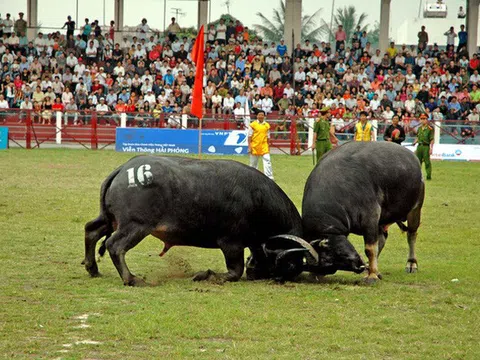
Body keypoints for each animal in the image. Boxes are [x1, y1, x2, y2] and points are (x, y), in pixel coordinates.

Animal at [84, 156, 320, 286]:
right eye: (292, 264)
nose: (282, 278)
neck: (257, 199)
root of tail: (123, 170)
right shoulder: (231, 243)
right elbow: (234, 272)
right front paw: (204, 275)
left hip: (111, 219)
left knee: (91, 231)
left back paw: (92, 268)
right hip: (136, 225)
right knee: (115, 245)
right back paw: (131, 279)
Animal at [302, 142, 426, 282]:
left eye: (329, 259)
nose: (358, 266)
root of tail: (413, 157)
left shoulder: (370, 217)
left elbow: (370, 248)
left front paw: (372, 276)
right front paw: (373, 272)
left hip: (415, 208)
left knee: (411, 235)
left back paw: (411, 263)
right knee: (383, 239)